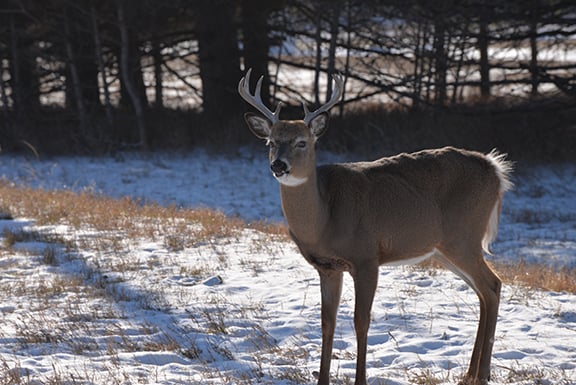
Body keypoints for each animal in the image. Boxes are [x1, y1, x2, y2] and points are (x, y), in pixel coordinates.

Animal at [238, 69, 512, 384]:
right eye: (270, 142)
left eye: (302, 142)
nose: (279, 165)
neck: (324, 219)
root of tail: (495, 169)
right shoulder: (327, 267)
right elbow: (327, 322)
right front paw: (322, 379)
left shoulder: (367, 258)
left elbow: (361, 321)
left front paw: (360, 379)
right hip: (444, 248)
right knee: (483, 292)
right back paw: (469, 373)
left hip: (464, 237)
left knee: (492, 285)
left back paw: (482, 374)